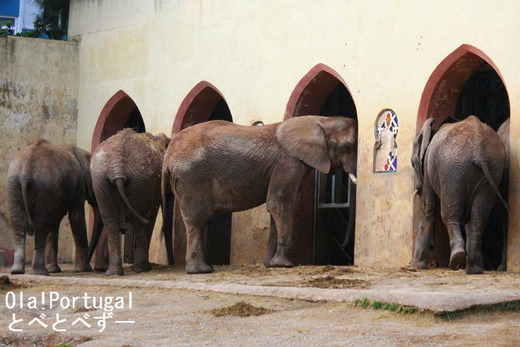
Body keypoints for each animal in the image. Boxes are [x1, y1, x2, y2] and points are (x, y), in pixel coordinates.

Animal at [6, 140, 99, 276]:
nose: (92, 266)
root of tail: (25, 172)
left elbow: (55, 221)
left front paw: (54, 270)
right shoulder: (79, 184)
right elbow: (76, 217)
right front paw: (83, 269)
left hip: (14, 184)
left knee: (19, 222)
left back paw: (17, 271)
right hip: (43, 185)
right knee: (41, 224)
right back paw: (40, 272)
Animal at [89, 129, 169, 276]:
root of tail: (117, 163)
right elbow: (151, 217)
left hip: (101, 180)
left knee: (110, 221)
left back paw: (113, 272)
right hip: (138, 181)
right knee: (138, 221)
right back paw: (142, 268)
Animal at [162, 116, 358, 274]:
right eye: (348, 147)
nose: (342, 248)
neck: (322, 121)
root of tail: (168, 155)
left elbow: (276, 207)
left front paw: (270, 265)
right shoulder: (288, 163)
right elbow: (281, 204)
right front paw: (283, 265)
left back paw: (206, 267)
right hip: (193, 177)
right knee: (198, 219)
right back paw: (200, 271)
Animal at [410, 116, 508, 274]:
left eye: (413, 164)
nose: (416, 187)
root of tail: (479, 150)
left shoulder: (428, 163)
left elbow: (428, 207)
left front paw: (415, 266)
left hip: (453, 169)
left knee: (449, 214)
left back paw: (457, 260)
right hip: (492, 168)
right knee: (478, 216)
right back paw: (474, 269)